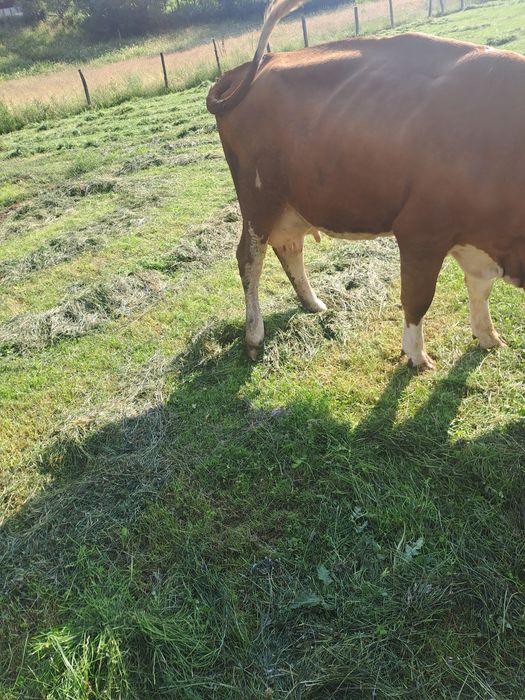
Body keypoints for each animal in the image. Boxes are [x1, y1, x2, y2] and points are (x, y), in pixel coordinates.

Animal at [207, 0, 525, 369]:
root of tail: (250, 66)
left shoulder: (478, 239)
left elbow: (479, 288)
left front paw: (488, 336)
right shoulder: (420, 231)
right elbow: (418, 297)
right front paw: (416, 355)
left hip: (292, 201)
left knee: (288, 246)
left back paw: (312, 303)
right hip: (258, 197)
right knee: (250, 258)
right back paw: (255, 335)